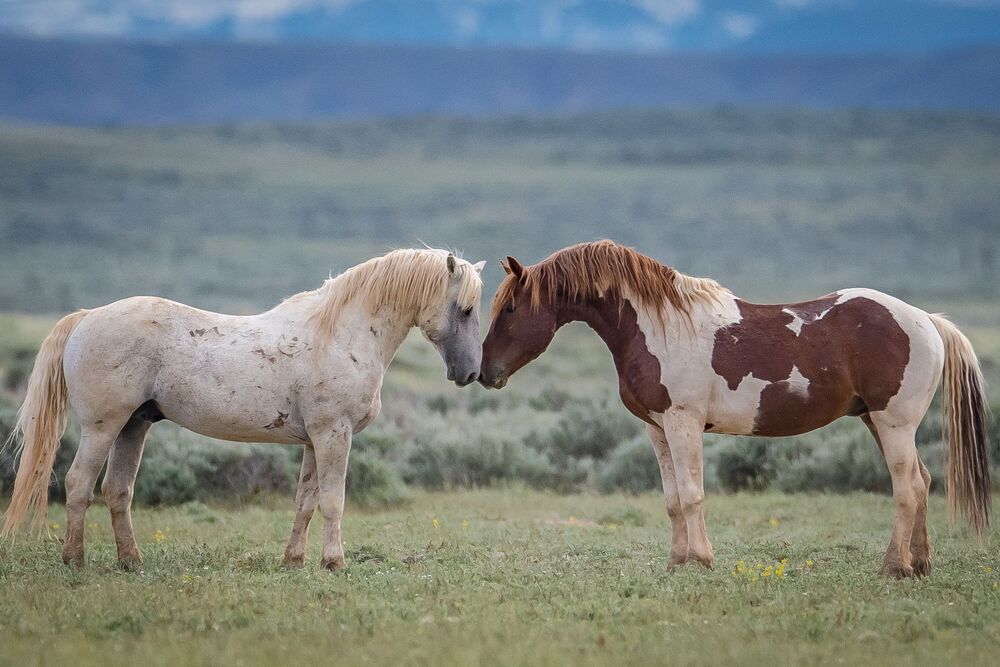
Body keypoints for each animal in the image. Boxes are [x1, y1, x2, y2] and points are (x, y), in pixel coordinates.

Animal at [2, 248, 485, 570]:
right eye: (464, 309)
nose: (469, 373)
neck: (340, 334)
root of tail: (86, 317)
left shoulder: (314, 440)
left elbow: (306, 501)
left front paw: (294, 561)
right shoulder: (334, 434)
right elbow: (333, 500)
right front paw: (334, 562)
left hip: (133, 427)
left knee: (117, 490)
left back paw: (131, 561)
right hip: (103, 427)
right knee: (78, 483)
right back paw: (74, 560)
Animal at [479, 240, 990, 578]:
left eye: (510, 309)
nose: (485, 372)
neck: (660, 327)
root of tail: (926, 320)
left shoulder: (683, 422)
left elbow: (692, 494)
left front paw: (701, 561)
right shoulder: (656, 428)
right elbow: (672, 499)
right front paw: (677, 561)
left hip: (893, 422)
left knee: (907, 488)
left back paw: (893, 567)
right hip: (875, 421)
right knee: (923, 482)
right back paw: (919, 564)